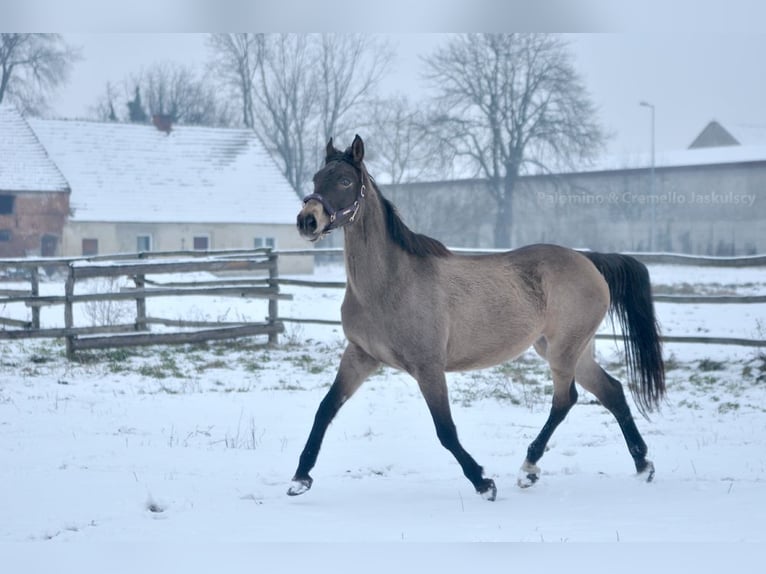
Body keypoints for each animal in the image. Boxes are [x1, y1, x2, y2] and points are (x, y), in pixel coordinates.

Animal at [289, 135, 665, 501]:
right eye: (316, 178)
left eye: (344, 180)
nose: (307, 220)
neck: (388, 285)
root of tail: (588, 260)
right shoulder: (360, 356)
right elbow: (325, 409)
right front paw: (300, 478)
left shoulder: (428, 367)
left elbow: (445, 430)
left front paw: (483, 483)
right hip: (566, 348)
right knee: (611, 392)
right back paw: (643, 465)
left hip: (564, 350)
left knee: (565, 400)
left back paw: (528, 469)